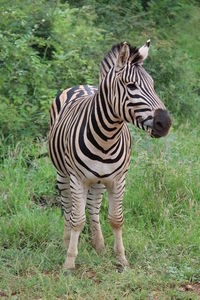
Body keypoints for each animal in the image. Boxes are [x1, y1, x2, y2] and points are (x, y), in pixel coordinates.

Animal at [48, 38, 170, 270]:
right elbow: (77, 219)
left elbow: (116, 219)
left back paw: (98, 245)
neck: (106, 138)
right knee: (68, 206)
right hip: (62, 174)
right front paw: (69, 262)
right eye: (131, 86)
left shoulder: (118, 179)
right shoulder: (77, 179)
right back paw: (67, 242)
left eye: (152, 85)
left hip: (99, 180)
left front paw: (121, 259)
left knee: (93, 208)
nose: (165, 123)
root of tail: (82, 85)